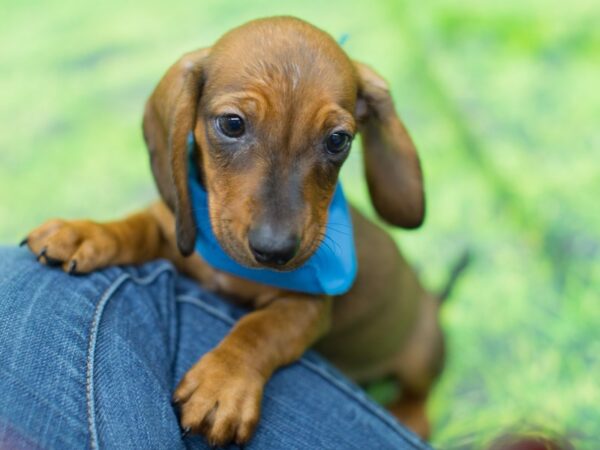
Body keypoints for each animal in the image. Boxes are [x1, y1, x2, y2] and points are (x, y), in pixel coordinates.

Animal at [24, 15, 446, 444]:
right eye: (231, 124)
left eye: (338, 140)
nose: (275, 250)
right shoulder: (176, 232)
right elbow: (138, 226)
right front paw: (87, 232)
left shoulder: (307, 307)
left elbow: (260, 329)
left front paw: (224, 381)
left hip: (422, 350)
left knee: (419, 393)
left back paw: (411, 415)